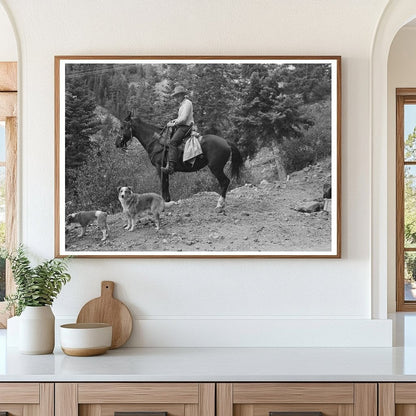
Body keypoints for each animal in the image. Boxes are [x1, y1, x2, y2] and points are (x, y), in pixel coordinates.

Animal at [114, 113, 244, 208]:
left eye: (122, 127)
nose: (116, 143)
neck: (155, 141)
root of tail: (226, 142)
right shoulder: (165, 170)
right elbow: (166, 185)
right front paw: (168, 201)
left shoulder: (159, 168)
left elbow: (163, 185)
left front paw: (165, 202)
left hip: (216, 168)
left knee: (225, 181)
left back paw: (220, 203)